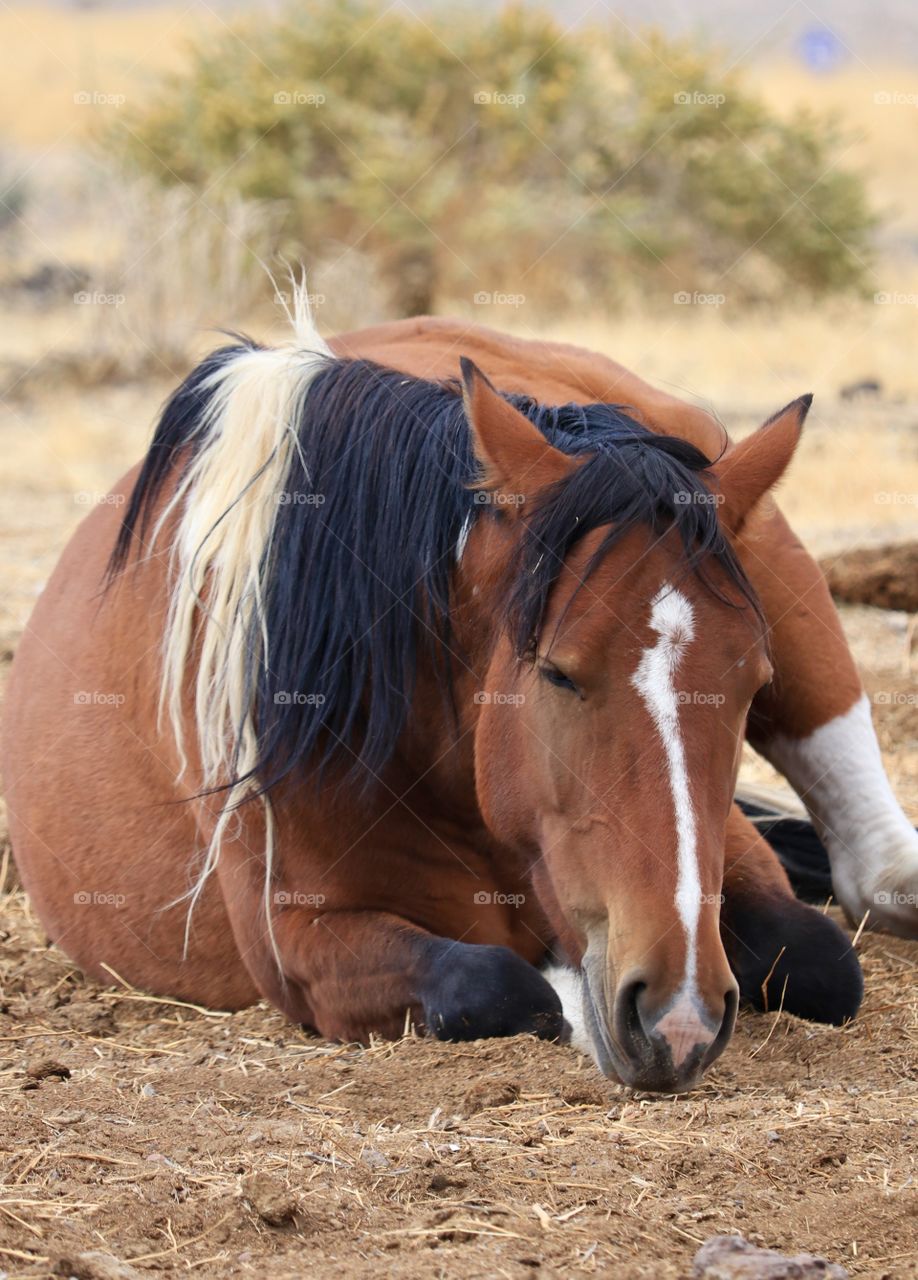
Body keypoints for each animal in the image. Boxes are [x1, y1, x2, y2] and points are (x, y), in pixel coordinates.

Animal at [1, 296, 911, 1090]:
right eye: (557, 671)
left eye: (750, 682)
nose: (677, 1016)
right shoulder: (298, 945)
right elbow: (500, 986)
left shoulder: (719, 852)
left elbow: (824, 961)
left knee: (872, 864)